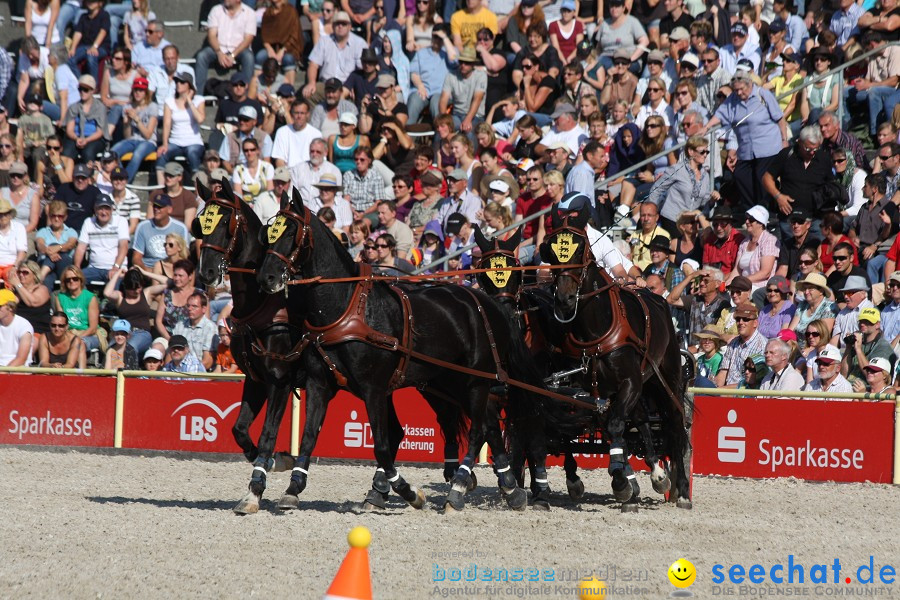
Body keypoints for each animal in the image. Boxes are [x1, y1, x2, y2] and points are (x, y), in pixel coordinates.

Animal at [258, 191, 540, 510]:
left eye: (290, 233)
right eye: (269, 233)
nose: (266, 278)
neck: (348, 307)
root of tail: (490, 306)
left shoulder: (374, 389)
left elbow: (382, 445)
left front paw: (407, 491)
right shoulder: (320, 383)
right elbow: (309, 436)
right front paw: (293, 487)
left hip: (477, 381)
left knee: (480, 428)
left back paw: (459, 487)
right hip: (448, 381)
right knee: (487, 424)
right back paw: (508, 488)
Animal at [536, 206, 692, 510]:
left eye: (580, 250)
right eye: (551, 251)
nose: (565, 299)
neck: (595, 329)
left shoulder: (629, 382)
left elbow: (616, 425)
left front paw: (621, 483)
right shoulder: (588, 390)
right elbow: (605, 429)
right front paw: (623, 483)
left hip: (664, 378)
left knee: (674, 423)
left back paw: (680, 489)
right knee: (642, 421)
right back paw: (657, 475)